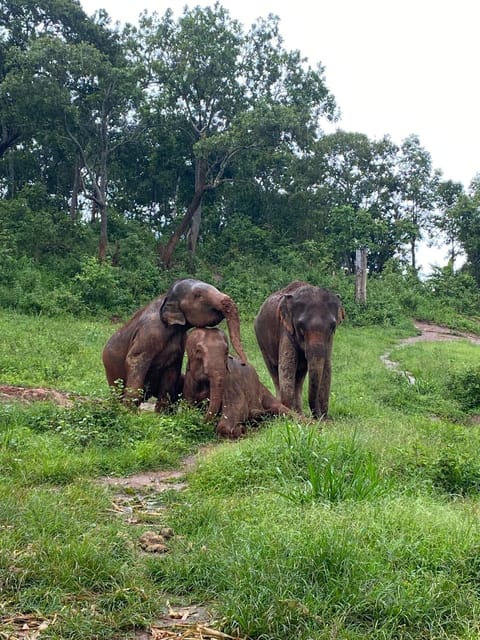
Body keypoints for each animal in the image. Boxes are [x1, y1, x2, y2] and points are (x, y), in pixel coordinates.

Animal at [101, 276, 248, 408]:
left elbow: (172, 371)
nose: (243, 363)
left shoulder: (180, 340)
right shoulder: (148, 332)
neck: (166, 296)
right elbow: (135, 360)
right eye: (198, 295)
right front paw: (129, 412)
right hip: (111, 372)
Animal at [253, 280, 344, 420]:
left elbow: (327, 367)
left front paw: (323, 418)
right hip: (261, 341)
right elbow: (287, 366)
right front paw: (289, 417)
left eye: (332, 327)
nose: (318, 417)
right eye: (301, 327)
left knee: (300, 375)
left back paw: (299, 412)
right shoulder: (285, 329)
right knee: (274, 370)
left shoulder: (330, 339)